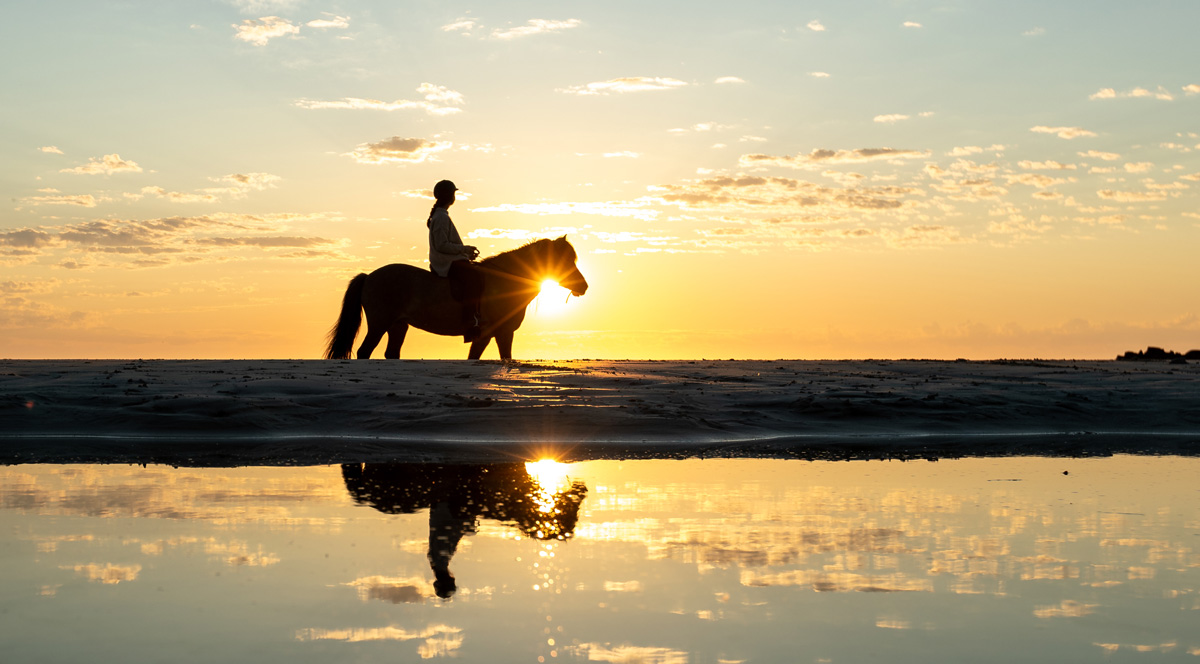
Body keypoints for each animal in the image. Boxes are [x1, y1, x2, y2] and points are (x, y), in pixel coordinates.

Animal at [324, 235, 585, 360]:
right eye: (563, 260)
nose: (583, 286)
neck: (505, 282)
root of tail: (369, 277)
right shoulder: (494, 333)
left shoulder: (496, 334)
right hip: (379, 323)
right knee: (364, 352)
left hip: (398, 326)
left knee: (391, 353)